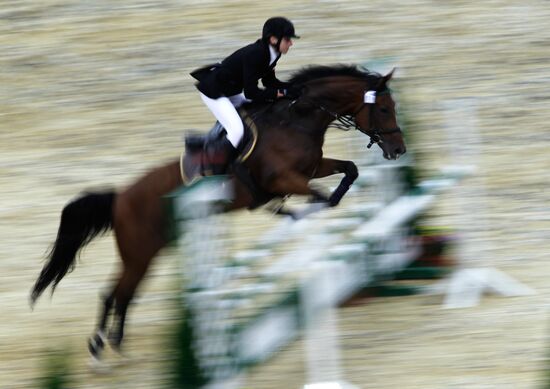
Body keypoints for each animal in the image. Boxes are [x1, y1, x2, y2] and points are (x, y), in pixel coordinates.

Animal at [31, 63, 410, 360]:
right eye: (383, 109)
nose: (398, 149)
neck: (296, 120)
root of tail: (120, 197)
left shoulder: (313, 168)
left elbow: (349, 171)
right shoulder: (285, 178)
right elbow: (319, 195)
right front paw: (296, 212)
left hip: (147, 252)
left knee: (119, 293)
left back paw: (109, 346)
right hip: (140, 252)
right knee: (118, 293)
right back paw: (102, 349)